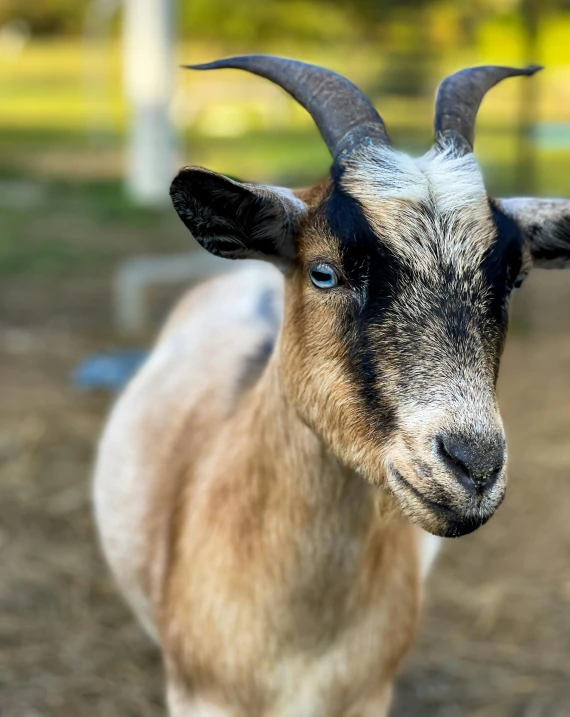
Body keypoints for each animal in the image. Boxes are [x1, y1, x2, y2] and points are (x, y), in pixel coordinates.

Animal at [93, 57, 568, 716]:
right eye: (324, 272)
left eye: (515, 278)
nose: (472, 467)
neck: (303, 639)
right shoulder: (201, 696)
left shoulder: (368, 696)